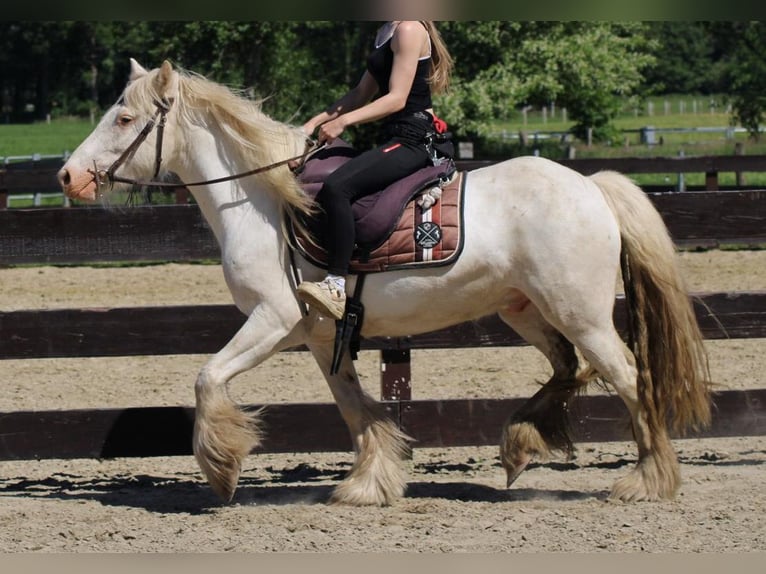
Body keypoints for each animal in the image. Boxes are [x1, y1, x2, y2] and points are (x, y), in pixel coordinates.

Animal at [58, 59, 711, 506]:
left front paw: (221, 470)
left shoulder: (272, 320)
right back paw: (522, 444)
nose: (67, 176)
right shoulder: (321, 336)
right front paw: (370, 483)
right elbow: (354, 407)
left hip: (582, 313)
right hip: (524, 309)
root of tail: (591, 186)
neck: (266, 202)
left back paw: (647, 479)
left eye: (124, 117)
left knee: (628, 377)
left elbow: (207, 377)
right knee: (568, 368)